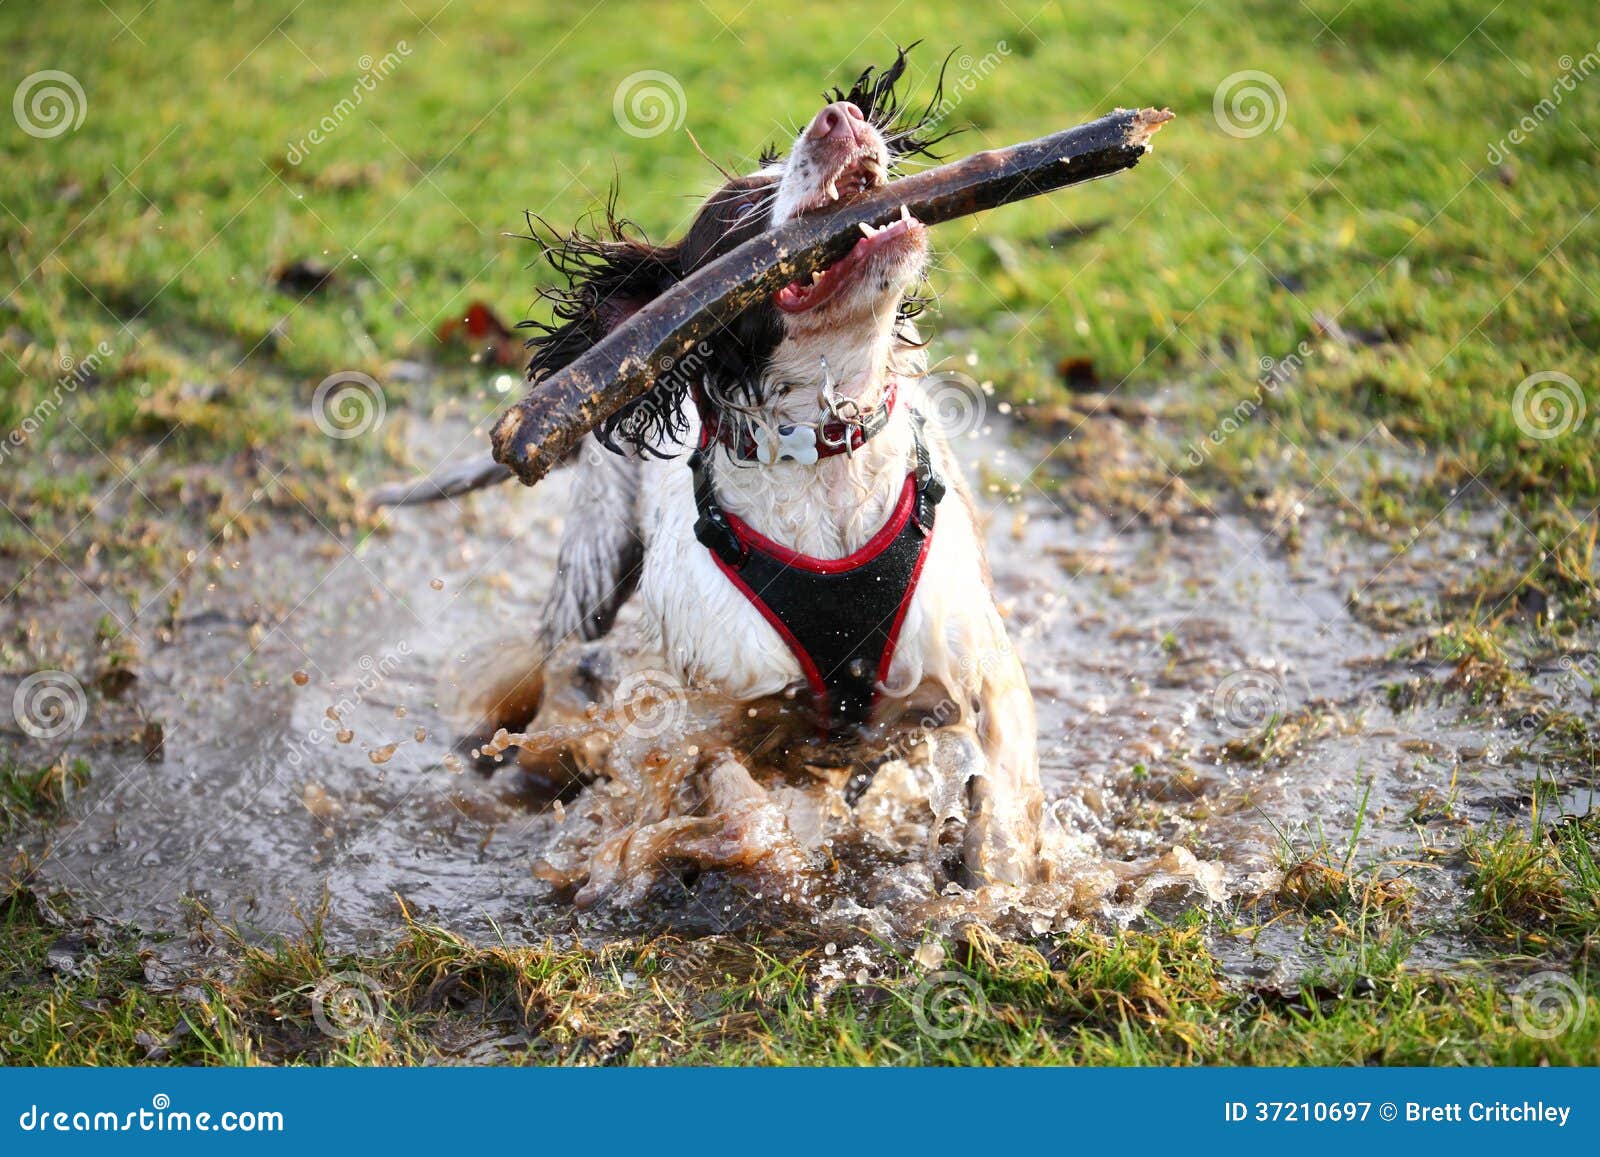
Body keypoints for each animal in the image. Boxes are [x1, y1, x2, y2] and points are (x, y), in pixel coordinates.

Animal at [457, 49, 1043, 902]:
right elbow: (746, 813)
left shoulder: (975, 669)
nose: (840, 118)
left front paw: (999, 886)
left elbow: (1001, 797)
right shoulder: (702, 716)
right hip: (590, 574)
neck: (823, 456)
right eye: (736, 211)